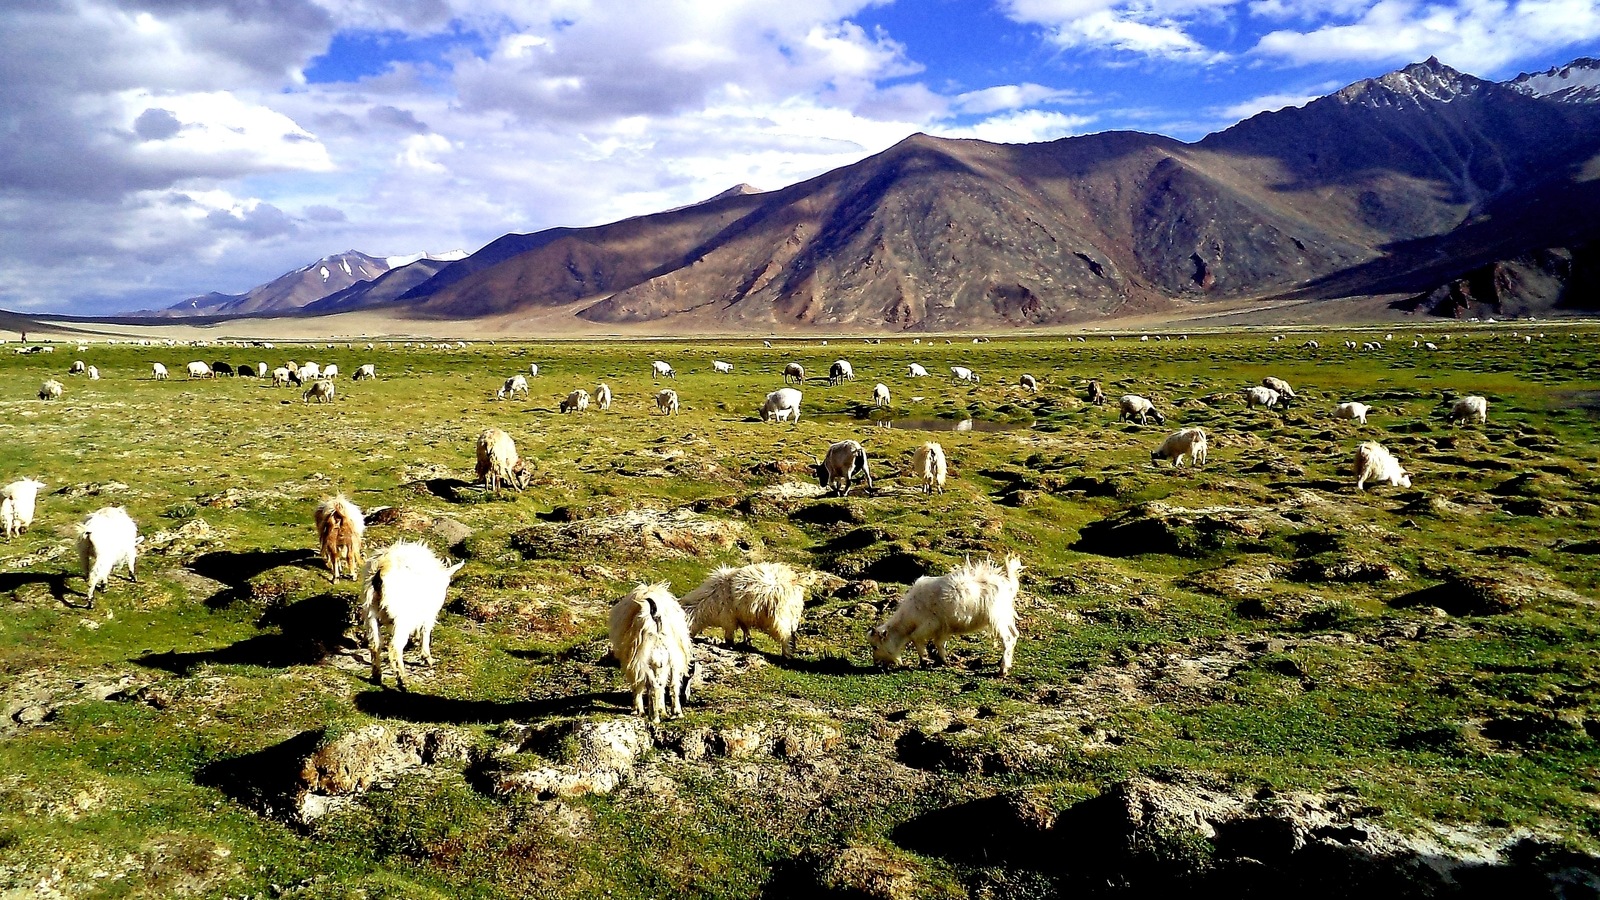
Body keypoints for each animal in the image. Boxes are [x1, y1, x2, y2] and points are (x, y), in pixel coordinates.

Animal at [361, 534, 464, 688]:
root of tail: (381, 571)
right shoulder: (429, 613)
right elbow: (426, 631)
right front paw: (427, 657)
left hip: (370, 612)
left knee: (375, 644)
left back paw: (377, 676)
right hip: (401, 618)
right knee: (395, 647)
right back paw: (402, 679)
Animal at [604, 582, 694, 720]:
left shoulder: (633, 663)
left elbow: (638, 685)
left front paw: (638, 710)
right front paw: (662, 710)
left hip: (643, 660)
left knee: (652, 685)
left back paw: (654, 716)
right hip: (672, 659)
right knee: (672, 685)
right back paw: (676, 713)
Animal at [870, 554, 1017, 672]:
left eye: (875, 646)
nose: (876, 664)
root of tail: (1008, 584)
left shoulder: (929, 625)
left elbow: (916, 638)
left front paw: (924, 661)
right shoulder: (942, 629)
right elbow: (939, 643)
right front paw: (942, 660)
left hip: (997, 619)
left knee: (1008, 638)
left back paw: (1003, 669)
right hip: (1006, 617)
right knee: (1015, 635)